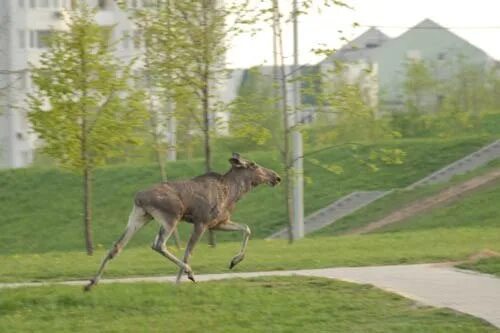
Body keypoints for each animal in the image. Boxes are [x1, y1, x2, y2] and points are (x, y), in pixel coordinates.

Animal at [86, 152, 282, 290]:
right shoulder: (201, 222)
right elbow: (188, 252)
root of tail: (139, 198)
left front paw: (234, 261)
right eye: (254, 165)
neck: (233, 194)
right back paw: (189, 272)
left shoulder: (218, 223)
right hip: (171, 217)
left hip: (140, 217)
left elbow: (246, 228)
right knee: (158, 245)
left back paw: (92, 282)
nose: (276, 177)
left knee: (117, 246)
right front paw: (179, 281)